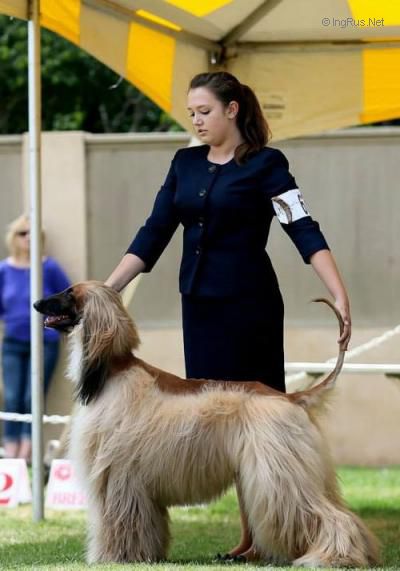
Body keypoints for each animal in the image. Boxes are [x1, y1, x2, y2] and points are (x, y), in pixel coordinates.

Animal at [34, 281, 380, 567]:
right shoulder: (138, 482)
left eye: (68, 293)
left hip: (280, 473)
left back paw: (332, 557)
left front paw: (114, 556)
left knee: (330, 515)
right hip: (303, 469)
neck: (112, 372)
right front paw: (148, 555)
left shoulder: (118, 475)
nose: (36, 303)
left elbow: (118, 521)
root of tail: (292, 398)